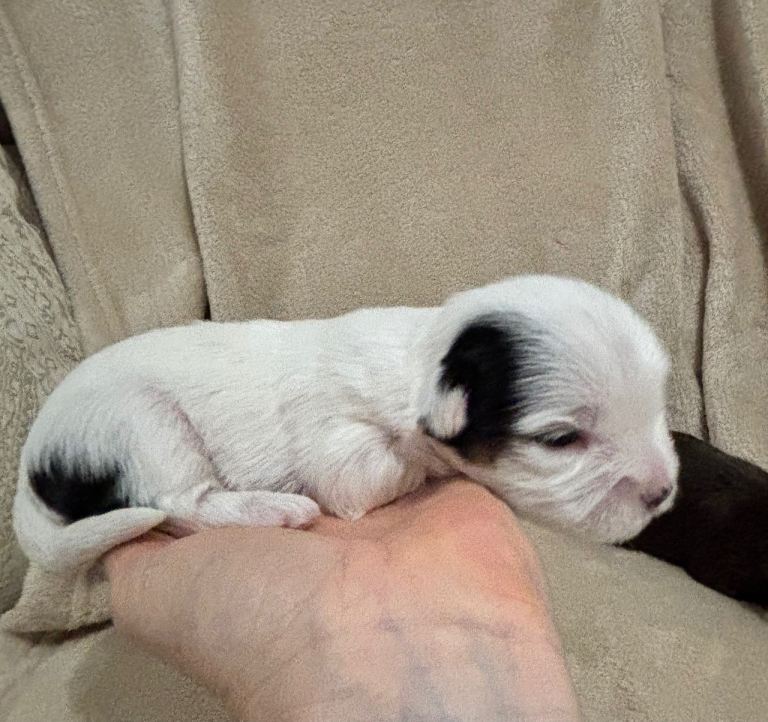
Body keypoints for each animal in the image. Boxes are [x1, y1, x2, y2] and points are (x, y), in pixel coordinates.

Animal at [14, 275, 678, 572]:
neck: (420, 355)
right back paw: (271, 509)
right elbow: (367, 476)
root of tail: (29, 466)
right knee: (181, 502)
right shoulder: (344, 448)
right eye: (560, 440)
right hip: (141, 425)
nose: (664, 492)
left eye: (658, 406)